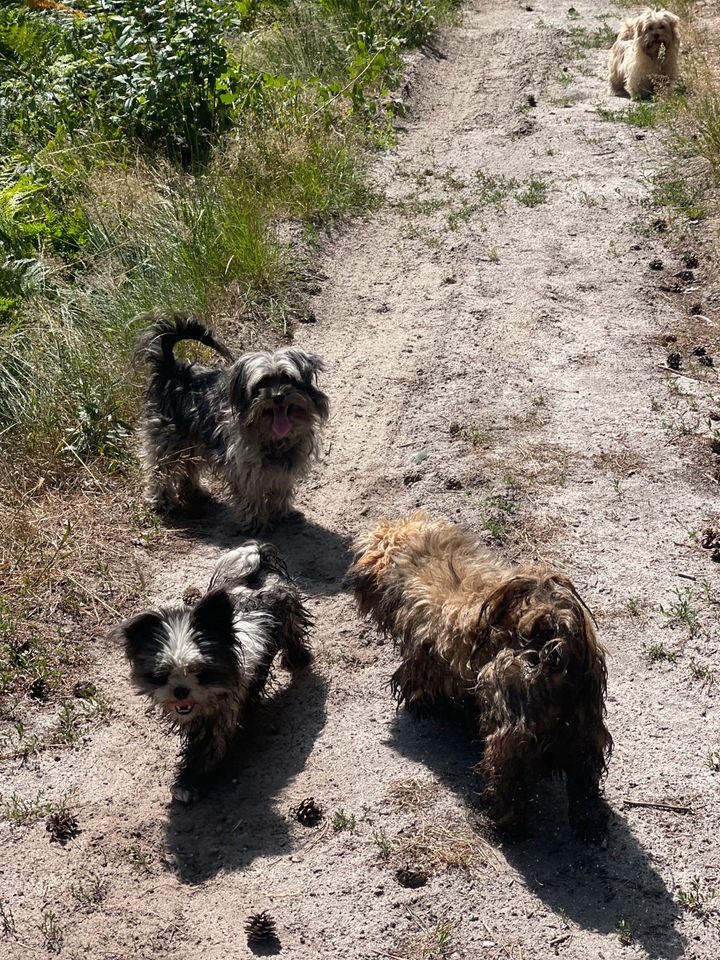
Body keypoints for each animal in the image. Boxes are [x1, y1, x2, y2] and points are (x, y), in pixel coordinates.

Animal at [112, 540, 312, 804]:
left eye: (200, 672)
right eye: (163, 674)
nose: (180, 690)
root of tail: (259, 564)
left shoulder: (220, 720)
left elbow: (207, 750)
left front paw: (189, 781)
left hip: (289, 617)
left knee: (294, 634)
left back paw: (298, 659)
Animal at [135, 312, 330, 528]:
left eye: (289, 378)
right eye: (262, 383)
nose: (278, 396)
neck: (272, 437)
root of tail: (172, 370)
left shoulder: (286, 468)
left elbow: (281, 491)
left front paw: (282, 512)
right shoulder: (244, 466)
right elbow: (250, 494)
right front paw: (255, 520)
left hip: (193, 442)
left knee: (188, 465)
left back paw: (194, 491)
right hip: (167, 441)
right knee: (160, 470)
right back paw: (162, 501)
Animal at [348, 512, 612, 836]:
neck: (416, 554)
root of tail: (551, 633)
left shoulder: (425, 655)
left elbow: (418, 683)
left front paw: (422, 705)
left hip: (509, 737)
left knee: (509, 783)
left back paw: (503, 822)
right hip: (586, 729)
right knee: (584, 781)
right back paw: (590, 823)